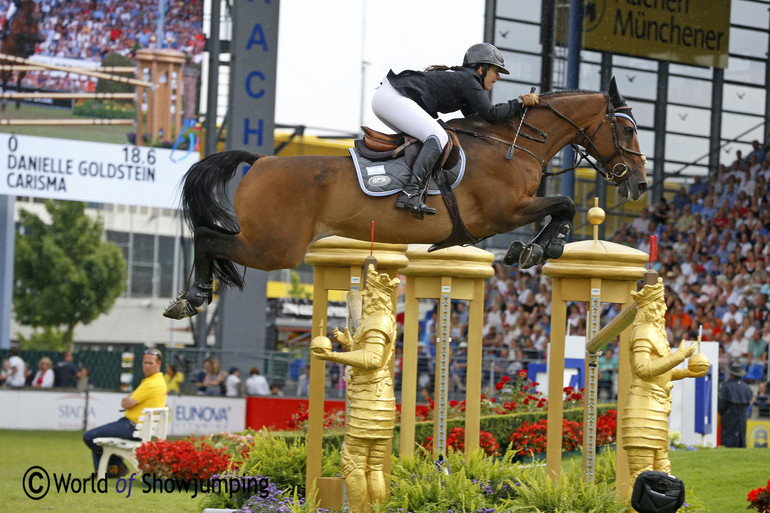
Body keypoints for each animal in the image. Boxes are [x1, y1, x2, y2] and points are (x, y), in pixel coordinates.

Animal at [165, 77, 644, 318]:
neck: (514, 141)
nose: (638, 184)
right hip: (275, 248)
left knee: (209, 236)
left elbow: (562, 208)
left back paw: (192, 296)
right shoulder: (503, 212)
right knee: (207, 237)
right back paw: (193, 297)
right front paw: (538, 248)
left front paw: (533, 250)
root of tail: (262, 160)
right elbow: (565, 205)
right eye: (627, 129)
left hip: (270, 244)